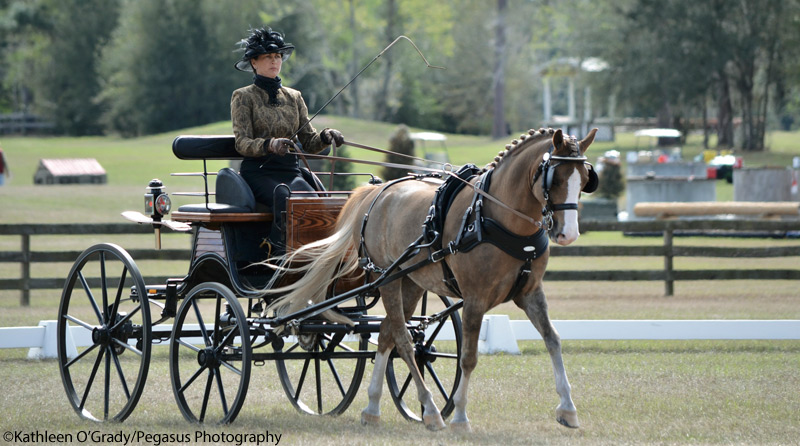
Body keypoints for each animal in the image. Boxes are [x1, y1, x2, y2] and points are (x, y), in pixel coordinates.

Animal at [266, 127, 596, 430]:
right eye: (556, 178)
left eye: (584, 178)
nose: (568, 234)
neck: (492, 215)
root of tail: (379, 192)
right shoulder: (475, 298)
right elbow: (468, 357)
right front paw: (460, 416)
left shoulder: (530, 293)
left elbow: (553, 340)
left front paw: (568, 408)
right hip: (387, 280)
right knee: (402, 340)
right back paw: (432, 410)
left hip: (410, 282)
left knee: (386, 333)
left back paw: (374, 408)